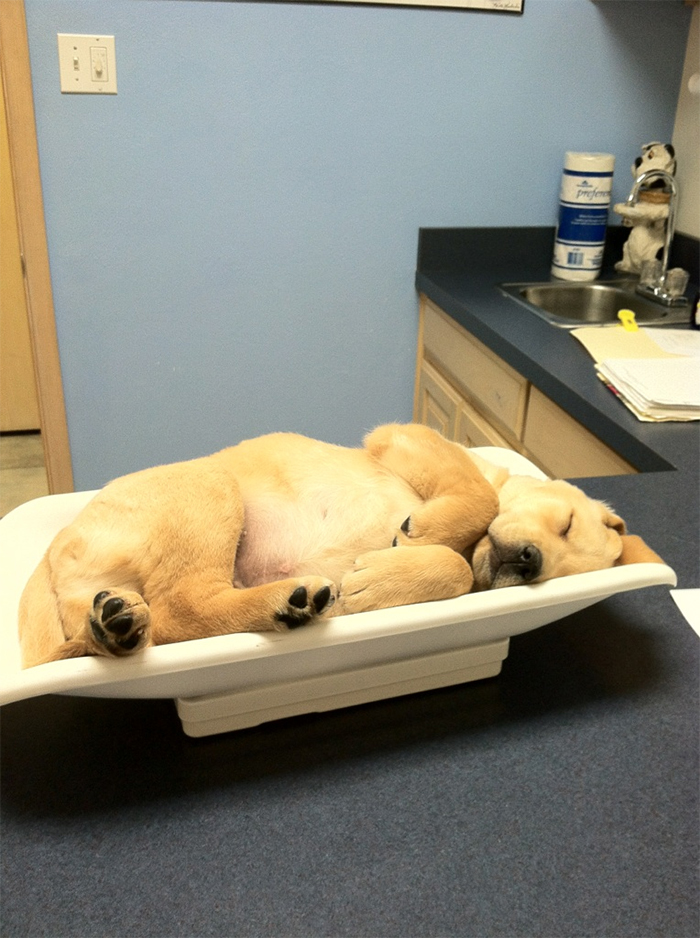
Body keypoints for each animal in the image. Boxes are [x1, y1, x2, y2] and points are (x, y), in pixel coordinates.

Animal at [17, 424, 652, 664]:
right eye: (565, 522)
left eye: (558, 572)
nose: (528, 559)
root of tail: (52, 553)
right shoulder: (408, 438)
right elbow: (475, 512)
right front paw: (414, 544)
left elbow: (457, 567)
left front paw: (383, 576)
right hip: (212, 490)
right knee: (181, 607)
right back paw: (288, 601)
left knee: (158, 616)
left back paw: (122, 627)